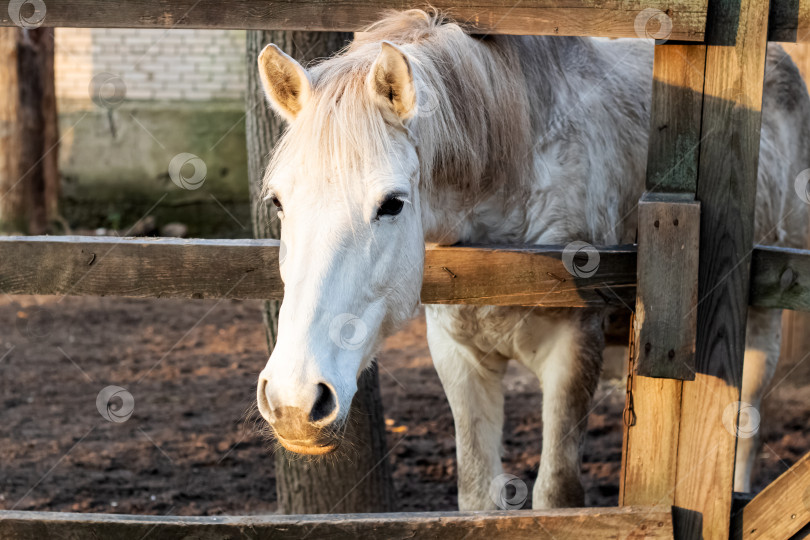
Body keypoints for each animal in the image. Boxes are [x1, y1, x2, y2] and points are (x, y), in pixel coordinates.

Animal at [254, 8, 808, 508]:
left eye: (392, 203)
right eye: (278, 202)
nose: (294, 401)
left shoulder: (572, 352)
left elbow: (555, 494)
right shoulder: (459, 359)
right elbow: (479, 494)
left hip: (760, 326)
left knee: (745, 426)